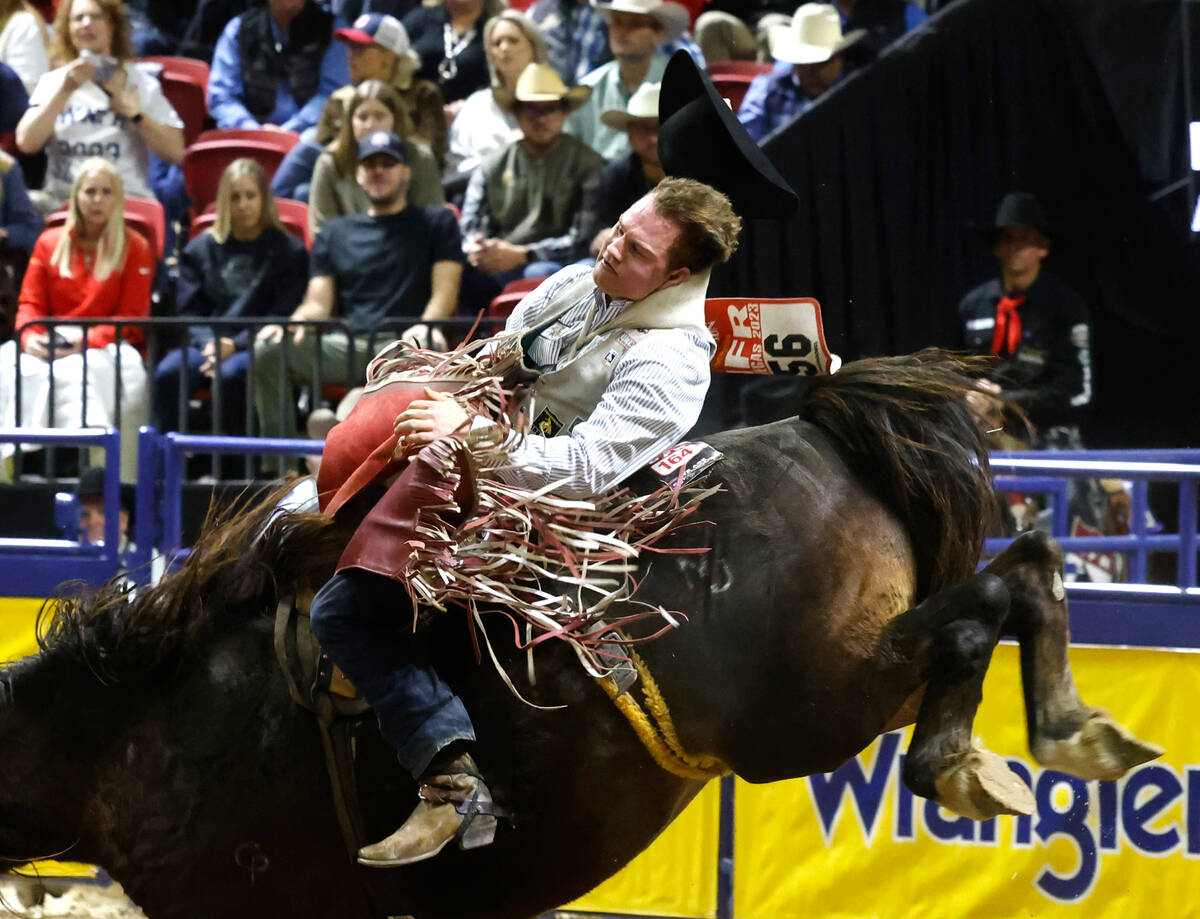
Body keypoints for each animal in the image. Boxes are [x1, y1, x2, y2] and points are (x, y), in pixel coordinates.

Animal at [0, 350, 1161, 916]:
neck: (133, 725)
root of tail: (818, 424)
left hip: (810, 706)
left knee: (975, 619)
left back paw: (973, 758)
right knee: (1021, 573)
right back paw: (1065, 732)